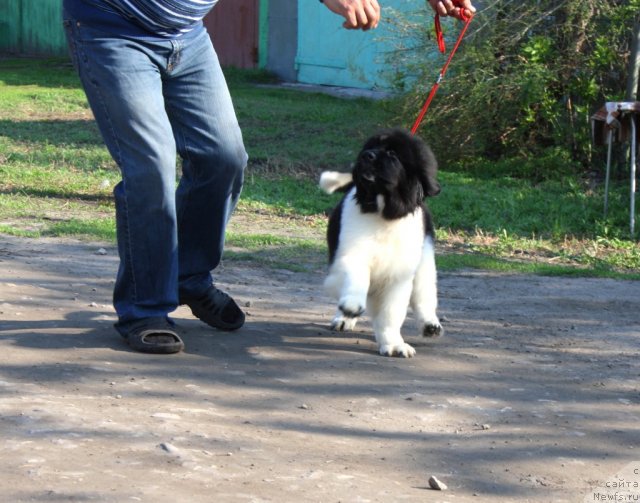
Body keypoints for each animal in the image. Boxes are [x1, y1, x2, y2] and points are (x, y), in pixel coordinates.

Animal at [318, 130, 442, 358]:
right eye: (371, 147)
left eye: (393, 153)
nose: (366, 156)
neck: (384, 213)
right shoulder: (347, 258)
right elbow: (357, 276)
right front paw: (351, 306)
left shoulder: (399, 276)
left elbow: (391, 313)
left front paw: (393, 344)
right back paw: (344, 318)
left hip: (426, 258)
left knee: (424, 292)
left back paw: (430, 323)